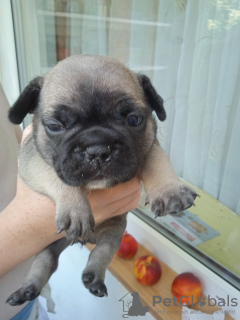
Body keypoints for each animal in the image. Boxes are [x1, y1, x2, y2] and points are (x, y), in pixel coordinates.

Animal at [6, 55, 197, 304]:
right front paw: (76, 208)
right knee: (45, 260)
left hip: (115, 231)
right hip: (48, 242)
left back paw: (93, 277)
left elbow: (158, 159)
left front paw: (169, 191)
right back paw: (27, 289)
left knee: (102, 252)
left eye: (133, 119)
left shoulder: (147, 146)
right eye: (55, 126)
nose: (97, 149)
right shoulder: (32, 159)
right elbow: (55, 176)